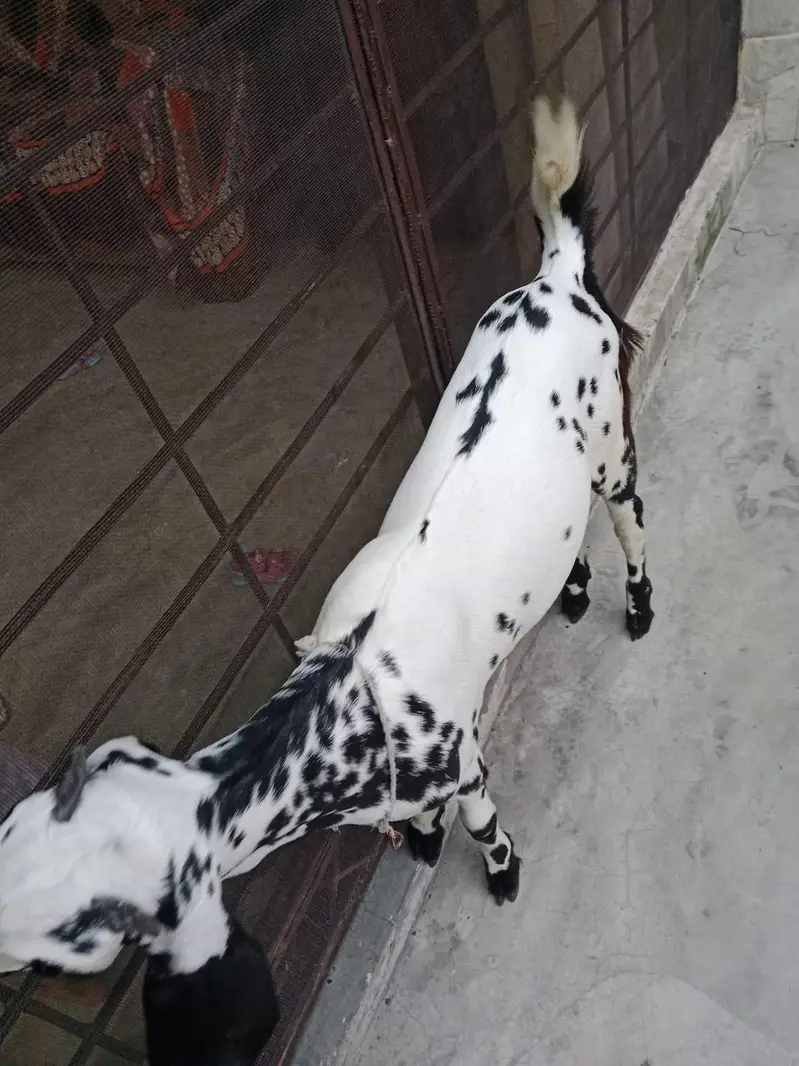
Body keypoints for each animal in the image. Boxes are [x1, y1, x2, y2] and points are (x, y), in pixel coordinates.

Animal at [0, 96, 652, 1065]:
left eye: (43, 926)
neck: (346, 705)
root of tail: (556, 278)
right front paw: (421, 843)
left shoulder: (463, 763)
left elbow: (481, 824)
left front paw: (500, 876)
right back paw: (569, 594)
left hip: (609, 445)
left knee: (631, 517)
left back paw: (639, 607)